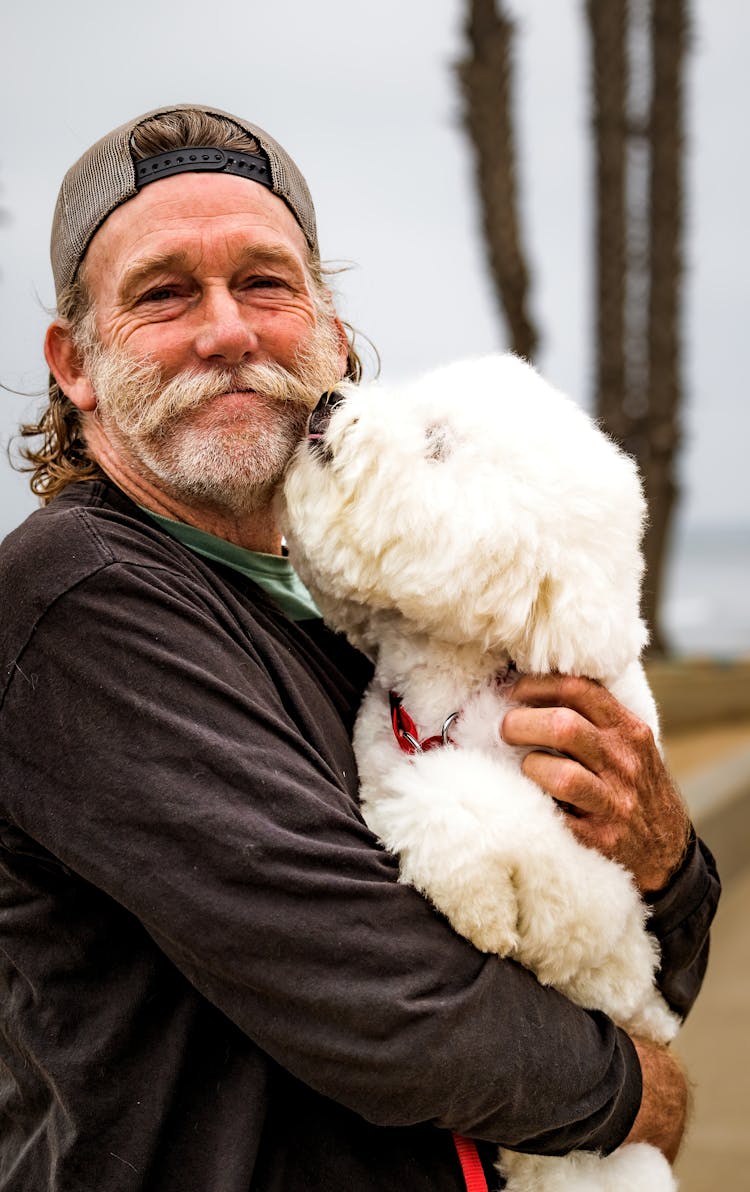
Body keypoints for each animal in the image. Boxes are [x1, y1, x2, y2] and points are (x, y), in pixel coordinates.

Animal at [277, 352, 682, 1192]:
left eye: (437, 443)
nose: (328, 399)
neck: (458, 687)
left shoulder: (604, 908)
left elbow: (487, 812)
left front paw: (483, 906)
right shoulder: (384, 750)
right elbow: (415, 792)